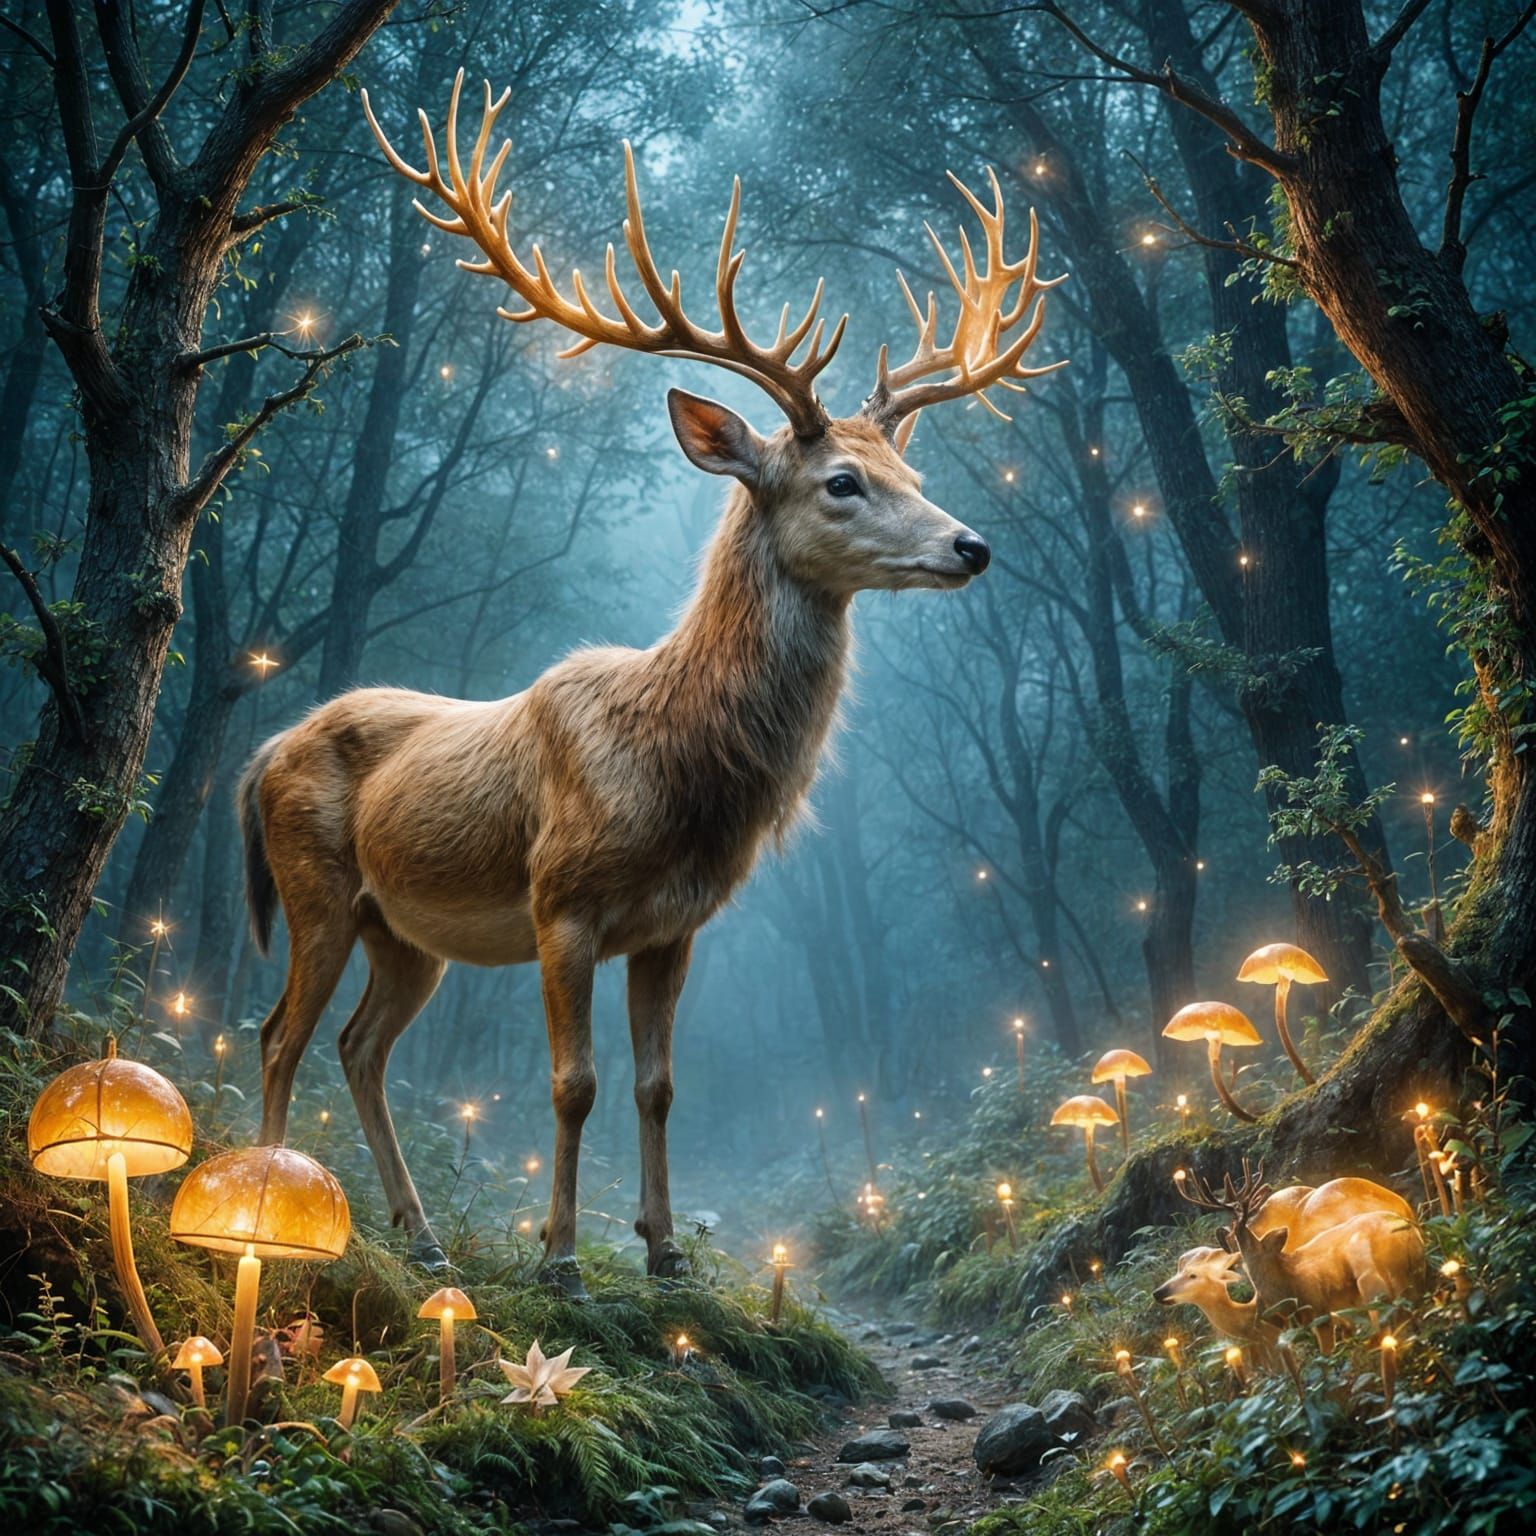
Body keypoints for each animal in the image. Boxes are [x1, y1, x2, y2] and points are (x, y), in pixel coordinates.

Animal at [237, 71, 1066, 1291]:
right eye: (843, 481)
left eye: (914, 470)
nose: (972, 546)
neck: (678, 771)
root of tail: (259, 755)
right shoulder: (561, 899)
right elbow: (573, 1083)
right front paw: (559, 1257)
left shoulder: (676, 925)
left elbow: (660, 1085)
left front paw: (665, 1250)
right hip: (315, 886)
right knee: (279, 1033)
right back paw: (267, 1208)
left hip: (406, 932)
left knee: (357, 1046)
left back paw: (421, 1234)